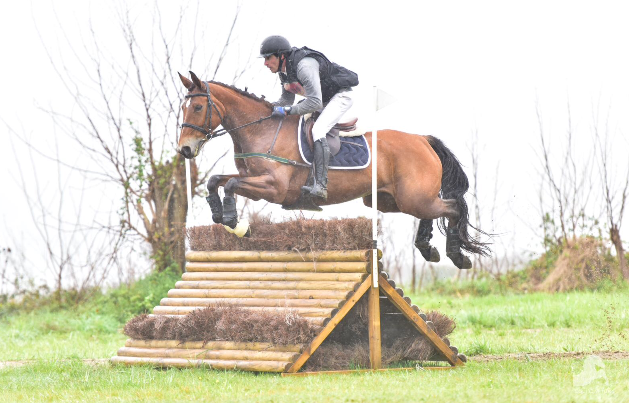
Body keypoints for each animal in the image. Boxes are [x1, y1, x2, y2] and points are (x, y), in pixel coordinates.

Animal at [175, 71, 492, 270]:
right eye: (183, 108)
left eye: (199, 107)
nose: (185, 150)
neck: (261, 130)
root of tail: (422, 139)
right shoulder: (253, 180)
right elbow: (217, 181)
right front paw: (220, 214)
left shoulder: (273, 187)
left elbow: (229, 185)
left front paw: (235, 223)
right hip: (389, 200)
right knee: (432, 211)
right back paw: (428, 248)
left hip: (412, 197)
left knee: (452, 208)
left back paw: (456, 256)